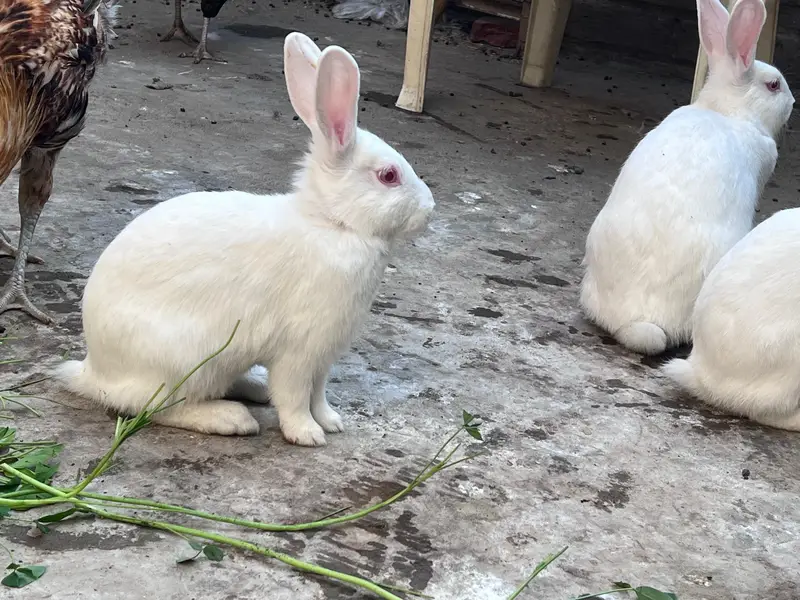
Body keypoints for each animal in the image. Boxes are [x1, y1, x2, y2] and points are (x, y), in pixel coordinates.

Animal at [53, 32, 435, 447]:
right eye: (389, 176)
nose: (429, 209)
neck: (333, 224)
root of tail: (92, 372)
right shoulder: (299, 352)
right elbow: (294, 395)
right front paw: (307, 434)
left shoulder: (322, 358)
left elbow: (318, 393)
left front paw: (331, 421)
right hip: (186, 360)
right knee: (155, 407)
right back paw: (231, 418)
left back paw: (253, 388)